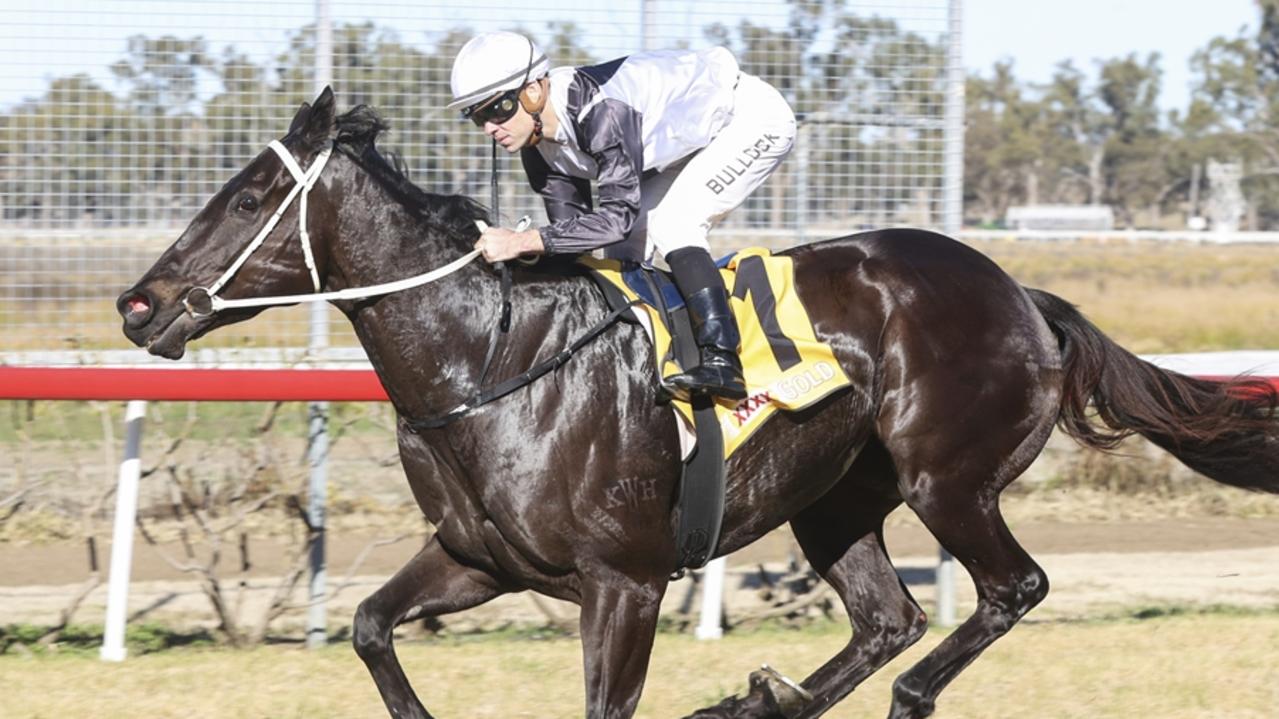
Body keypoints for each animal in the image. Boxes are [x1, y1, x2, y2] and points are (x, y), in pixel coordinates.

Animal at [115, 90, 1273, 716]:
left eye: (252, 198)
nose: (139, 304)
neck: (490, 357)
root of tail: (1022, 295)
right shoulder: (479, 559)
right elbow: (366, 626)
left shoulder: (623, 581)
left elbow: (603, 699)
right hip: (837, 498)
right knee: (887, 615)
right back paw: (765, 695)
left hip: (948, 479)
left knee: (1006, 589)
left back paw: (884, 693)